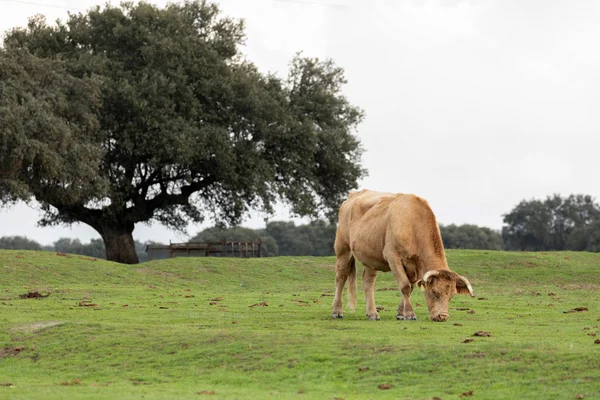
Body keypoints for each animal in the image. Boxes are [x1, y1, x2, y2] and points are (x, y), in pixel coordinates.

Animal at [330, 190, 476, 322]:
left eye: (451, 296)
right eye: (435, 292)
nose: (443, 316)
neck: (413, 223)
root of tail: (354, 195)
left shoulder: (414, 267)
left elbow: (410, 287)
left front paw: (401, 313)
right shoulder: (393, 258)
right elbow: (405, 286)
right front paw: (410, 313)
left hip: (371, 258)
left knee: (368, 281)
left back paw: (372, 313)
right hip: (343, 250)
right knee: (340, 278)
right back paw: (336, 311)